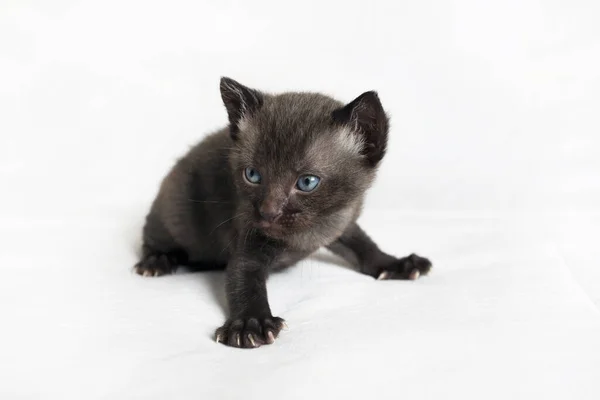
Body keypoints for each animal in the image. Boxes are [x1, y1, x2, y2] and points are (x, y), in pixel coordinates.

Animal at [135, 77, 432, 346]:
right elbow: (244, 281)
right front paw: (250, 324)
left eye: (307, 182)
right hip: (169, 210)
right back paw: (157, 260)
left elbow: (363, 245)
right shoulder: (247, 239)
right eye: (252, 175)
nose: (268, 212)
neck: (310, 233)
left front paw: (394, 264)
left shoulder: (342, 221)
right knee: (152, 237)